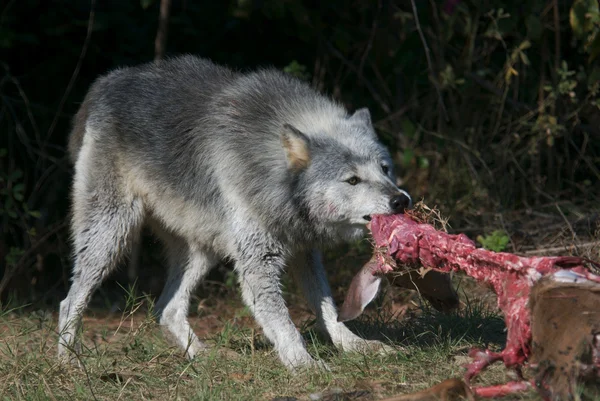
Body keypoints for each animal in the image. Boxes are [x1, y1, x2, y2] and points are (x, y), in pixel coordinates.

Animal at [57, 54, 412, 368]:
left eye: (385, 169)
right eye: (352, 179)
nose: (401, 201)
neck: (270, 172)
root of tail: (109, 81)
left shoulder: (304, 251)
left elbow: (328, 309)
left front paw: (355, 346)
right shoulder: (259, 263)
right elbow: (284, 324)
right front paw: (305, 365)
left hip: (201, 252)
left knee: (166, 310)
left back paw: (205, 358)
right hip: (111, 237)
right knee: (69, 301)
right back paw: (69, 361)